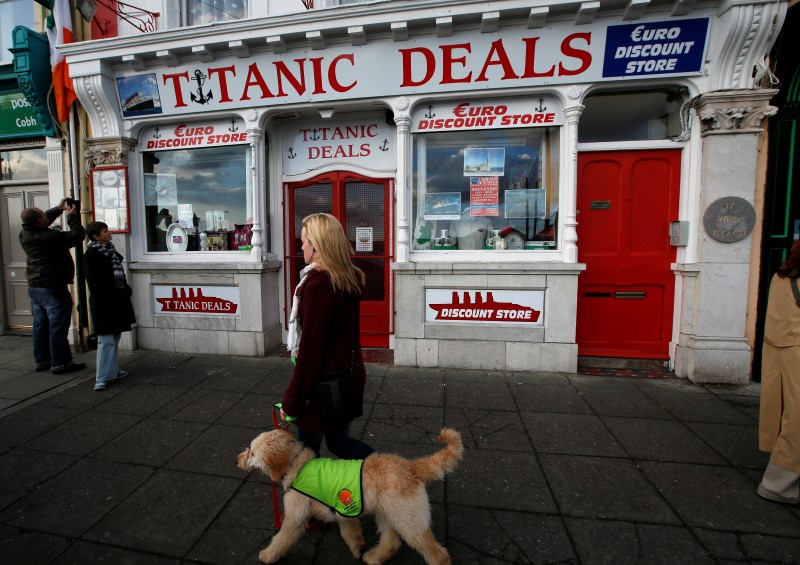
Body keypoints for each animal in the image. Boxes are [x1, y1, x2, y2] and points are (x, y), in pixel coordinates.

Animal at [236, 428, 462, 564]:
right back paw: (373, 557)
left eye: (252, 452)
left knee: (439, 555)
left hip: (409, 520)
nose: (236, 461)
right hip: (388, 514)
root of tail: (411, 466)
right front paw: (357, 548)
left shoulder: (295, 516)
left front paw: (268, 554)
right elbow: (350, 532)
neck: (296, 465)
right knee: (392, 543)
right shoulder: (342, 512)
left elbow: (282, 538)